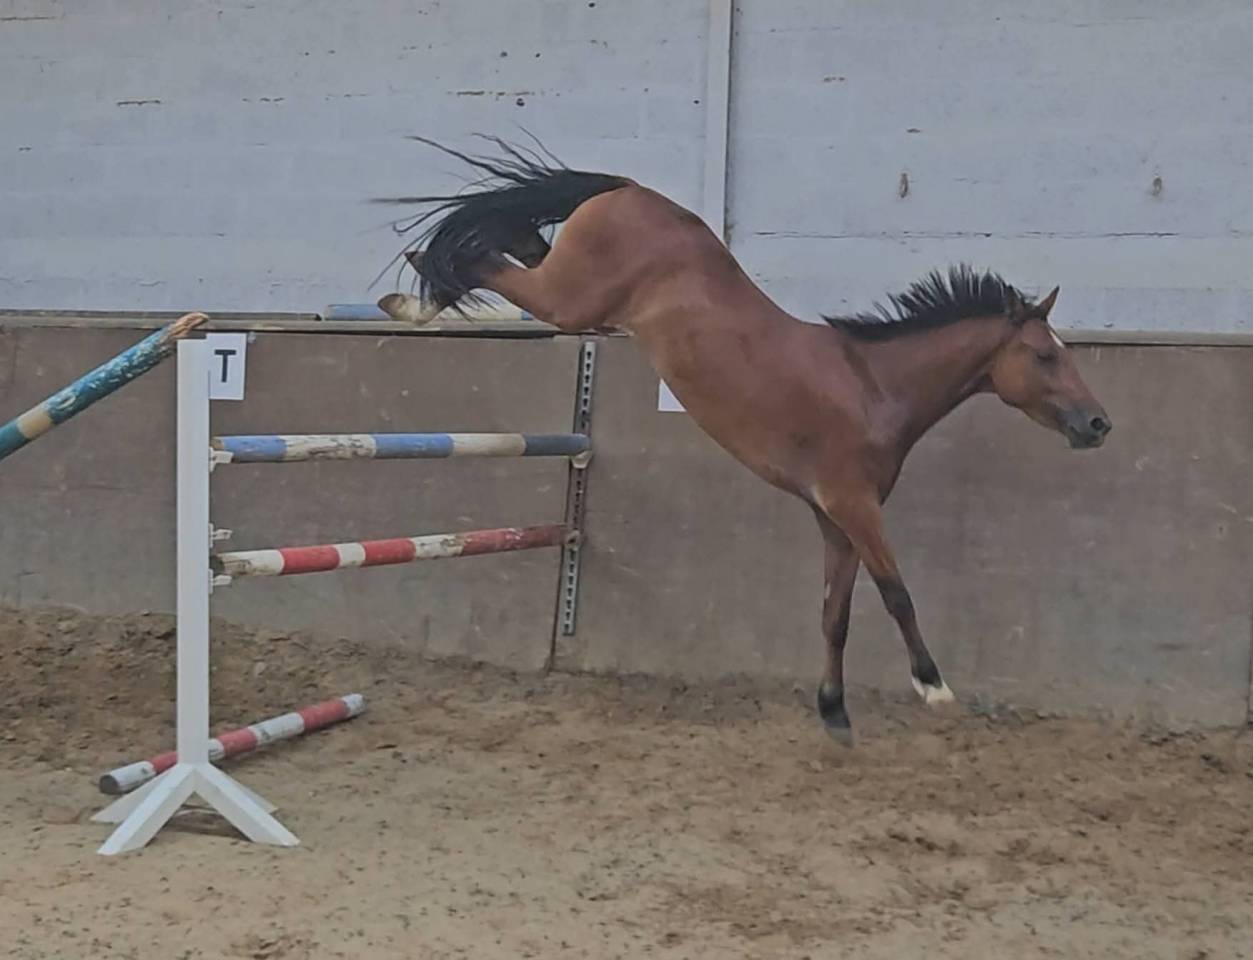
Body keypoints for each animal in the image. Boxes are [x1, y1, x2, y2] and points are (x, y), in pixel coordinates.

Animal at [374, 138, 1112, 745]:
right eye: (1045, 355)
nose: (1098, 424)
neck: (872, 385)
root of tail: (629, 189)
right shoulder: (853, 506)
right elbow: (895, 592)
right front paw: (933, 687)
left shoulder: (833, 520)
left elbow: (835, 613)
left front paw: (834, 713)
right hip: (571, 299)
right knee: (481, 257)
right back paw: (413, 297)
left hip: (566, 283)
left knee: (513, 240)